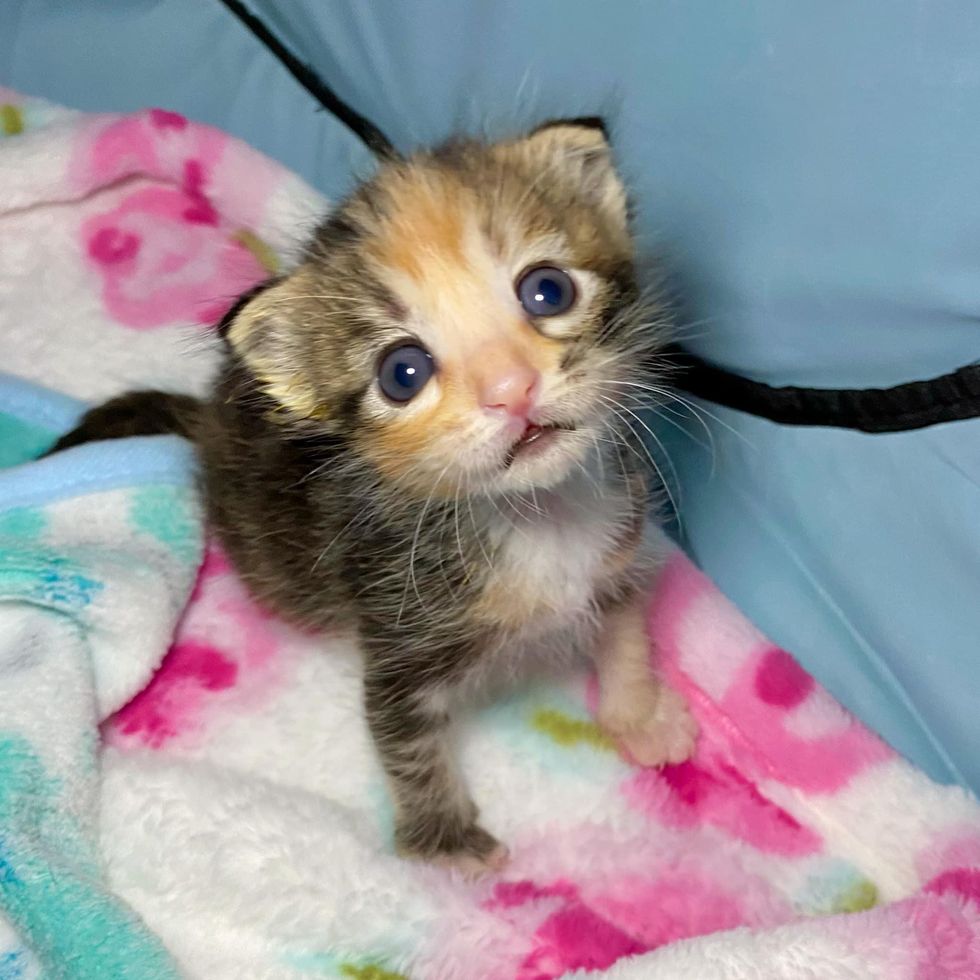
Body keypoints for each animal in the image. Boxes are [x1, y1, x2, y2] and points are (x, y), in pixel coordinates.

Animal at [51, 117, 696, 872]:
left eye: (548, 291)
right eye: (402, 372)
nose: (512, 389)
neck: (541, 517)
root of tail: (210, 420)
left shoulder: (619, 549)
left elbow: (625, 633)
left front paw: (640, 716)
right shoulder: (398, 630)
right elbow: (406, 741)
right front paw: (448, 844)